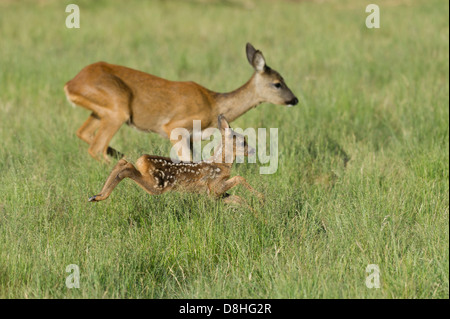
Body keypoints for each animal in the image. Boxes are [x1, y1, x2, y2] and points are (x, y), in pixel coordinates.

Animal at [62, 42, 296, 162]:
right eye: (277, 83)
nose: (294, 99)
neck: (213, 104)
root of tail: (70, 83)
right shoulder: (173, 126)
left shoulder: (192, 136)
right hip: (118, 109)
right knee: (96, 148)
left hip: (101, 111)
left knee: (83, 133)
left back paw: (121, 154)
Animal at [88, 115, 264, 208]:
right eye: (243, 142)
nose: (253, 150)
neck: (220, 163)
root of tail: (142, 159)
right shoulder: (214, 186)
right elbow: (239, 178)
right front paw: (261, 198)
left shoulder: (214, 194)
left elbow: (238, 198)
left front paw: (254, 212)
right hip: (157, 185)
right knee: (127, 167)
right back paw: (99, 196)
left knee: (123, 162)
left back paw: (96, 196)